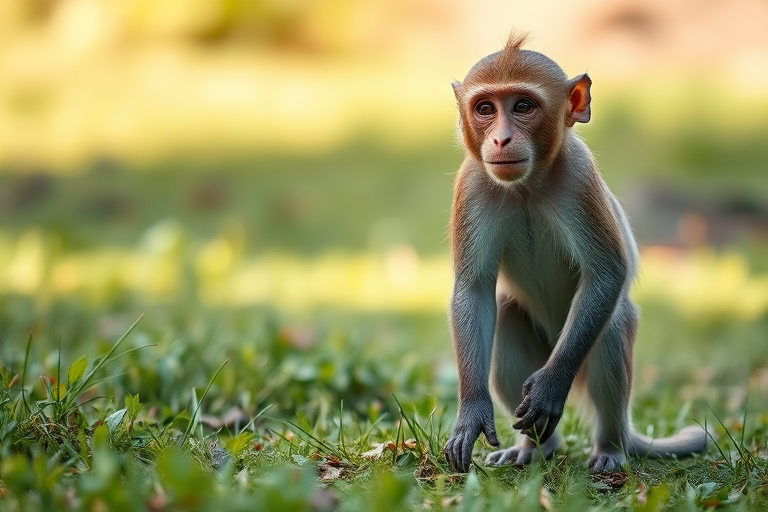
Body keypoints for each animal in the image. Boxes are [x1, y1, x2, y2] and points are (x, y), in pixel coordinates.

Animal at [443, 33, 707, 473]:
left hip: (582, 354)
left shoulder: (579, 176)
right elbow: (475, 289)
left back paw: (610, 448)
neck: (527, 186)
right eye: (485, 108)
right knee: (508, 316)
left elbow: (607, 274)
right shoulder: (473, 182)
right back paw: (535, 447)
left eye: (523, 106)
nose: (500, 139)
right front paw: (472, 413)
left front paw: (550, 387)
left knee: (613, 326)